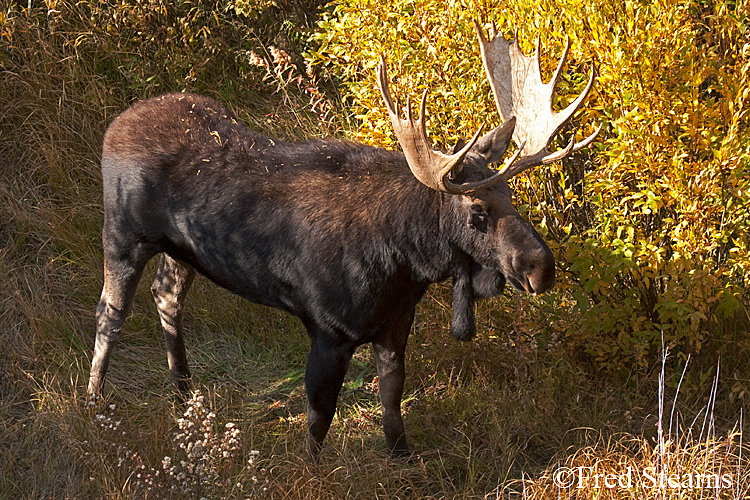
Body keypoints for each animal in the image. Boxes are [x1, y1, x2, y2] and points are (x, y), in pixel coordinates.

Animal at [87, 21, 599, 460]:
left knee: (166, 296)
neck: (405, 264)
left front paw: (402, 456)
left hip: (183, 252)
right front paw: (313, 469)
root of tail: (114, 124)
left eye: (511, 195)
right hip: (122, 234)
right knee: (109, 312)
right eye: (477, 211)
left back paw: (184, 393)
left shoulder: (395, 321)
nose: (541, 267)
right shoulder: (330, 330)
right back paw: (94, 400)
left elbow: (392, 397)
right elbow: (319, 418)